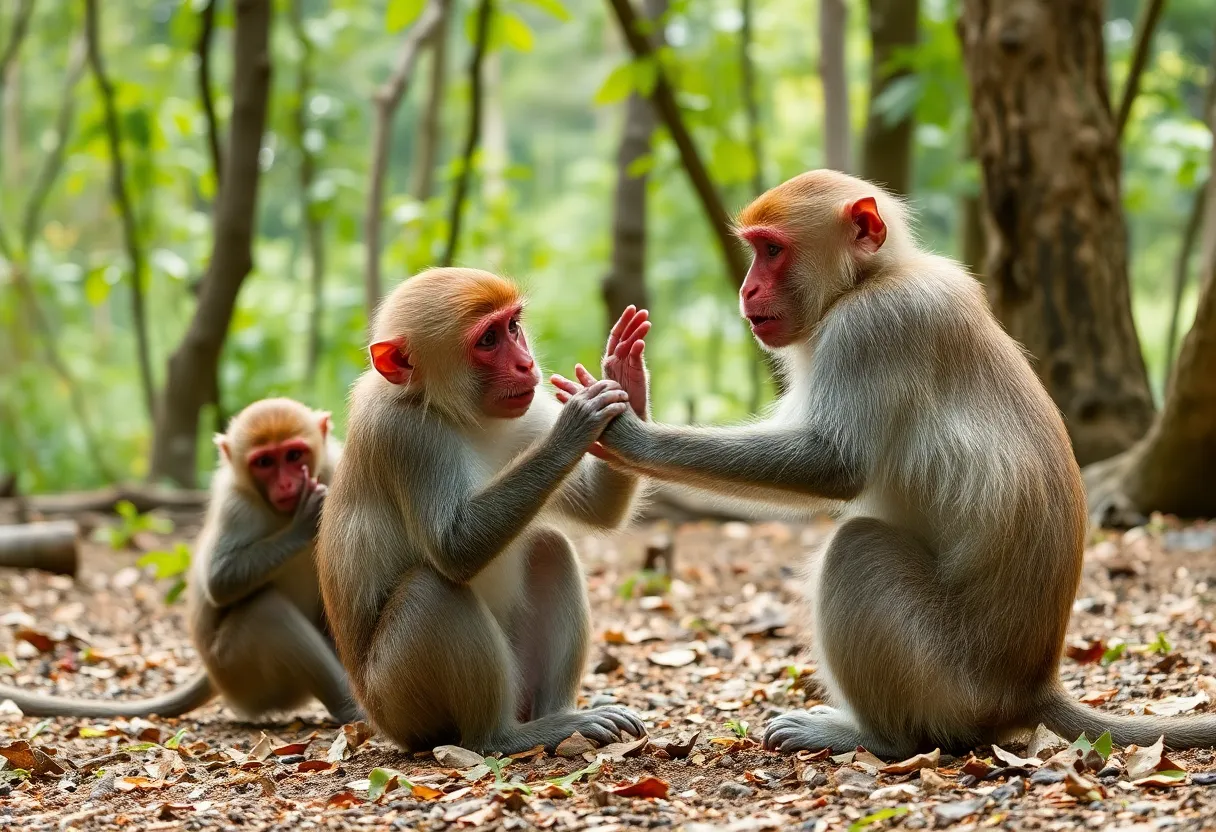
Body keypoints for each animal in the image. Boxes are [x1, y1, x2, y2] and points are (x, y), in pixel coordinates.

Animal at [0, 398, 359, 720]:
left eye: (294, 455)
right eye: (265, 462)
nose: (286, 484)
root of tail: (214, 679)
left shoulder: (337, 468)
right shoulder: (235, 505)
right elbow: (219, 580)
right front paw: (304, 521)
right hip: (240, 671)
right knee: (265, 612)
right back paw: (347, 708)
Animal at [318, 266, 651, 754]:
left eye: (512, 327)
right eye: (488, 340)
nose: (526, 365)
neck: (457, 413)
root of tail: (377, 719)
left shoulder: (527, 413)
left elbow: (598, 507)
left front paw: (626, 376)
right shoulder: (405, 434)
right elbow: (453, 549)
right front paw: (575, 423)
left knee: (549, 548)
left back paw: (561, 717)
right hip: (399, 702)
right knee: (431, 590)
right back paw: (504, 736)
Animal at [561, 172, 1216, 759]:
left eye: (771, 250)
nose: (746, 291)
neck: (874, 276)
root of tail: (1031, 688)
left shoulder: (872, 326)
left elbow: (833, 465)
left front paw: (630, 433)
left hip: (949, 679)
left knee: (859, 548)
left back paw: (875, 739)